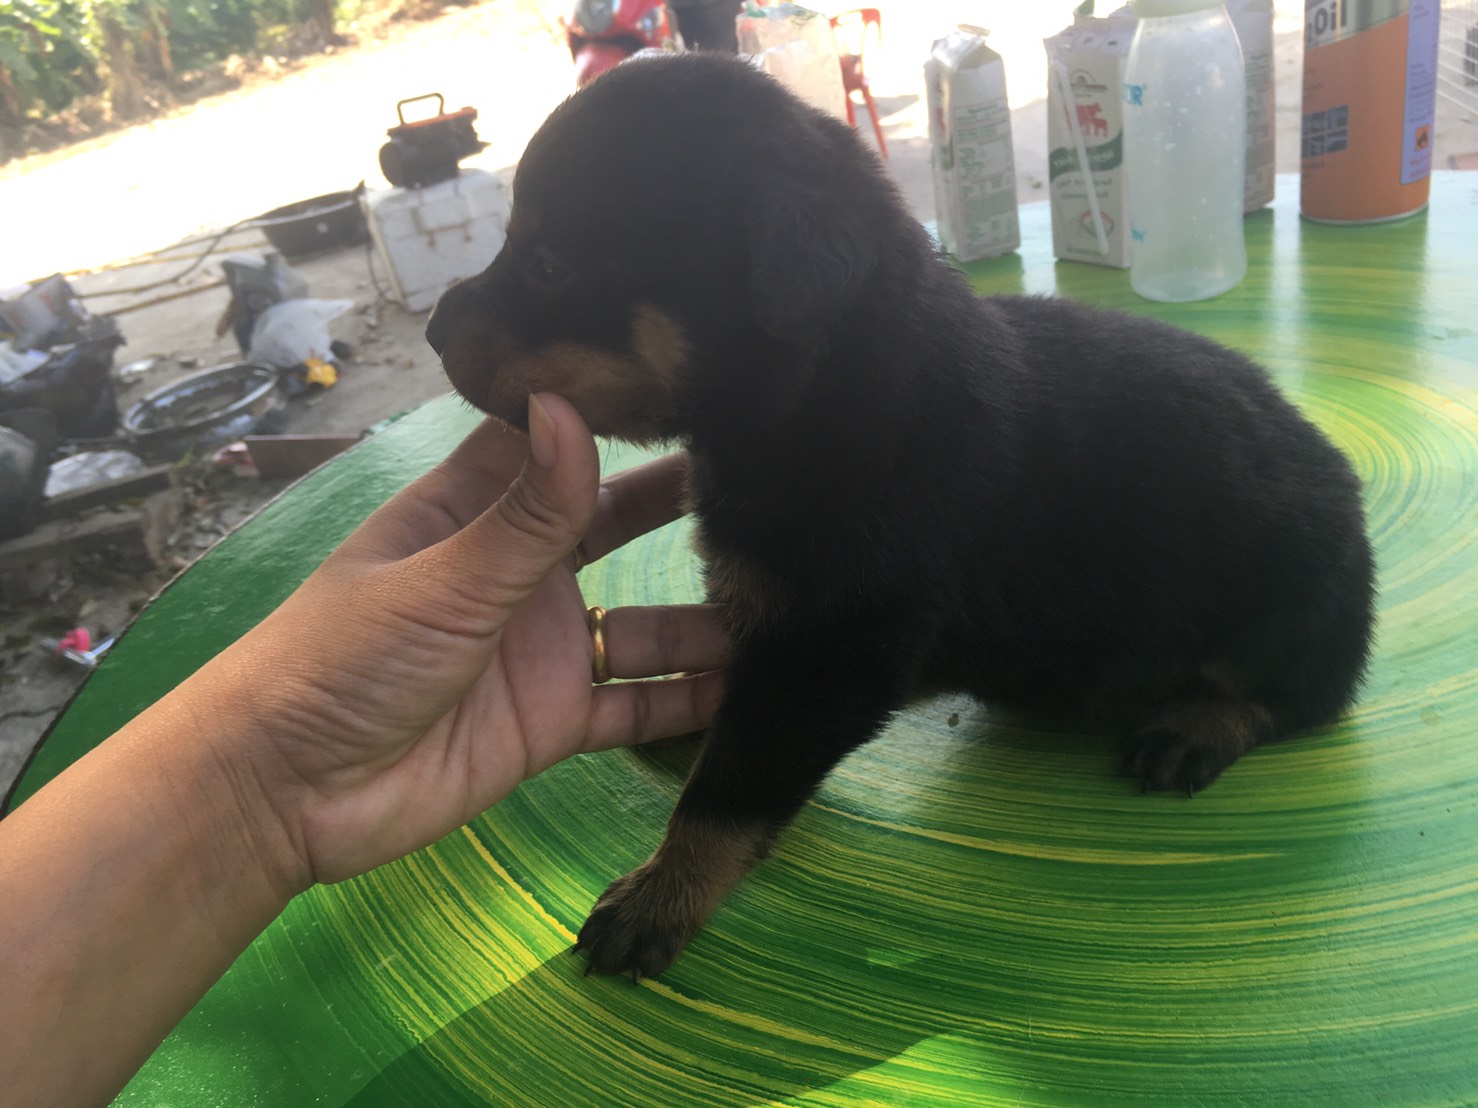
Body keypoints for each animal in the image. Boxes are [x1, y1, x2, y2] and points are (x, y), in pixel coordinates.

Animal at [427, 54, 1375, 981]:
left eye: (551, 267)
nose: (433, 326)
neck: (819, 400)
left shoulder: (830, 648)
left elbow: (730, 787)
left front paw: (660, 895)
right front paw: (692, 705)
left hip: (1291, 591)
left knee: (1294, 693)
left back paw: (1194, 729)